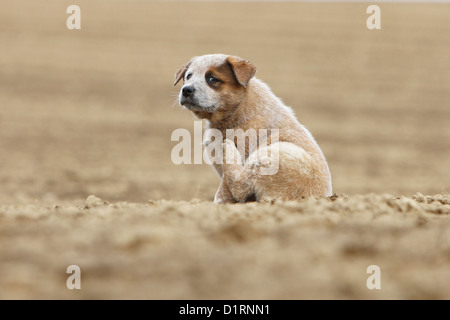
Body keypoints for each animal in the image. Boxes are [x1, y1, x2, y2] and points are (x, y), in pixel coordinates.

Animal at [174, 53, 332, 202]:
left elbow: (224, 191)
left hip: (277, 151)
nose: (186, 90)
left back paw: (228, 148)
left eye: (212, 79)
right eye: (188, 76)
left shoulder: (245, 151)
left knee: (241, 185)